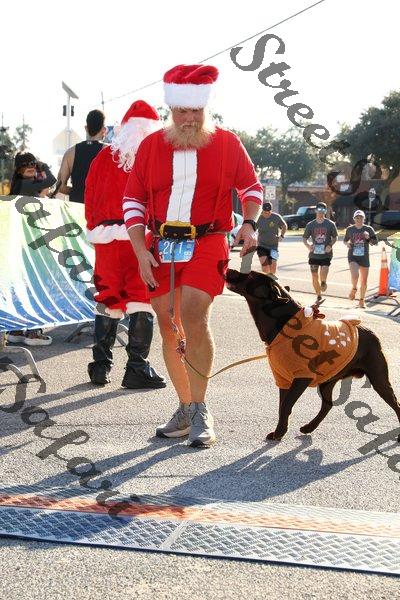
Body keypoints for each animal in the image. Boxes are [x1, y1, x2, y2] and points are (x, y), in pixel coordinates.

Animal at [226, 268, 400, 441]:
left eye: (250, 275)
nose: (228, 269)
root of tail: (371, 332)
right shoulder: (283, 379)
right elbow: (282, 406)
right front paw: (279, 432)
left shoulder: (302, 377)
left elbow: (286, 405)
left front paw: (279, 432)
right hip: (328, 380)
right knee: (328, 405)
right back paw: (309, 427)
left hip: (378, 378)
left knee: (395, 402)